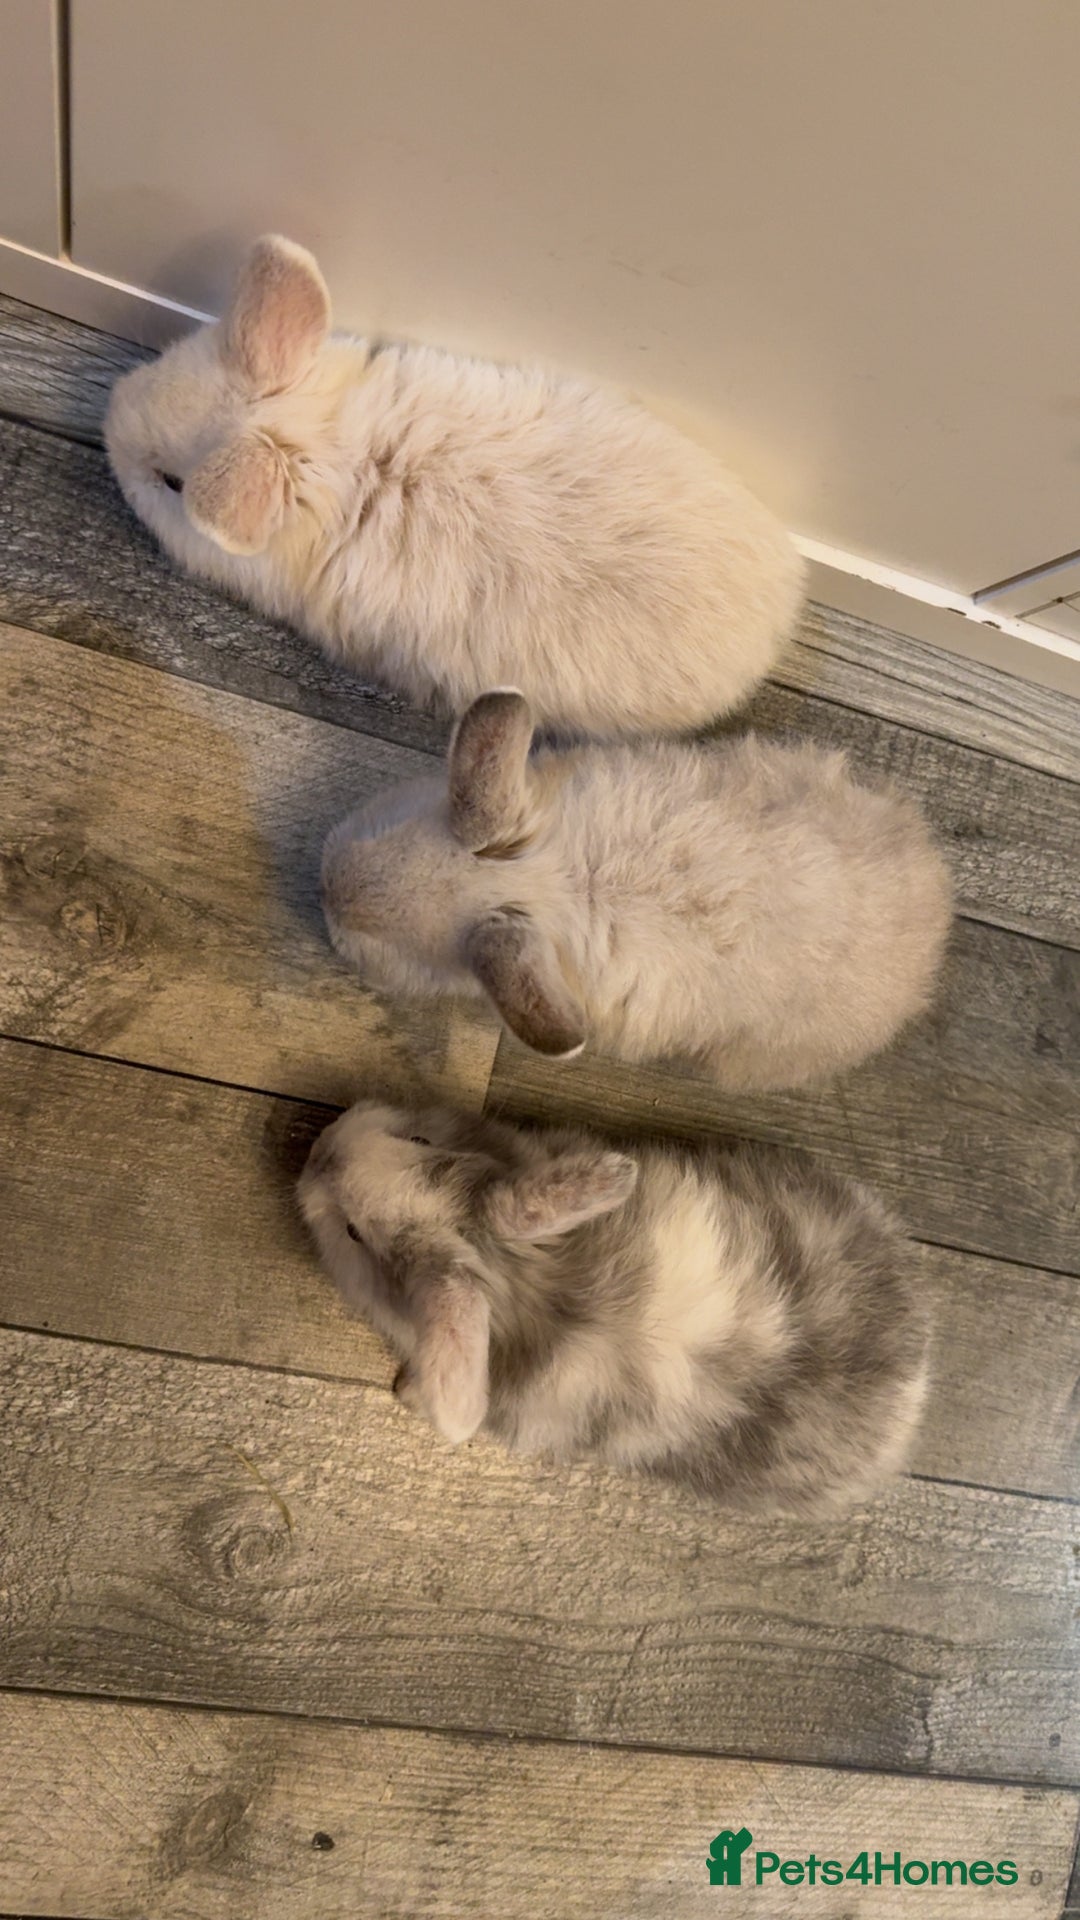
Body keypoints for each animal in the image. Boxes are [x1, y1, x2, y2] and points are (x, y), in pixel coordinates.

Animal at [298, 1100, 929, 1514]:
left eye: (353, 1234)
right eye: (420, 1143)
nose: (321, 1147)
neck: (528, 1289)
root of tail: (918, 1380)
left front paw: (408, 1392)